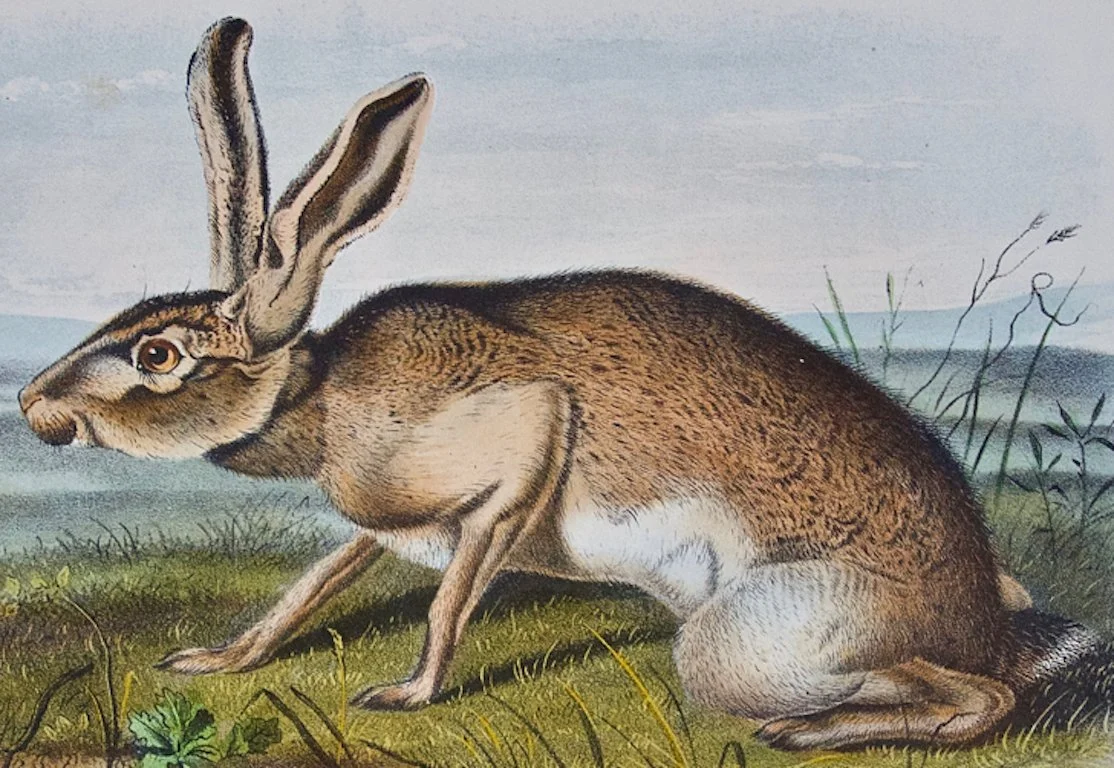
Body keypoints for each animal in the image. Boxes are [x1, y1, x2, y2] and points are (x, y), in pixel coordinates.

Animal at [18, 17, 1114, 751]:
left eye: (159, 356)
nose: (33, 406)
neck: (317, 395)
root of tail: (983, 622)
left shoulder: (517, 443)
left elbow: (453, 594)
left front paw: (407, 695)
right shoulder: (385, 524)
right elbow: (309, 586)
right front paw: (215, 661)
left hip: (748, 643)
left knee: (980, 699)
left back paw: (816, 732)